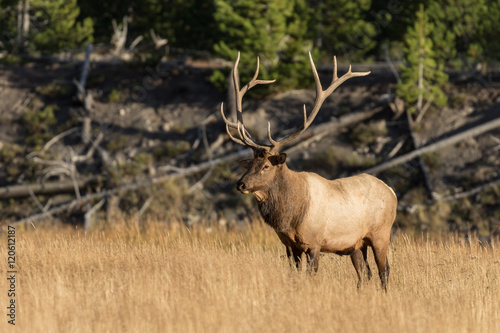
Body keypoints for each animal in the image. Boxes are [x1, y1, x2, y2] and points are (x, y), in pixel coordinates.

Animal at [221, 52, 396, 290]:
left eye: (266, 166)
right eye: (249, 164)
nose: (240, 184)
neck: (290, 216)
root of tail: (392, 191)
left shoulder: (314, 242)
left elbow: (311, 275)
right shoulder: (290, 245)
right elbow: (296, 274)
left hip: (381, 233)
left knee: (383, 270)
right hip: (356, 244)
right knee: (365, 273)